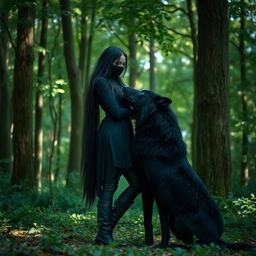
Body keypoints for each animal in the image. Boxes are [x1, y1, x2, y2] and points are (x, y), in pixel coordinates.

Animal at [123, 86, 253, 250]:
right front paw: (148, 244)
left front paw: (160, 246)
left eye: (142, 93)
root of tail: (218, 238)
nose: (124, 86)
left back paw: (175, 245)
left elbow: (161, 226)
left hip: (179, 219)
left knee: (197, 245)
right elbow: (148, 219)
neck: (156, 134)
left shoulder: (155, 193)